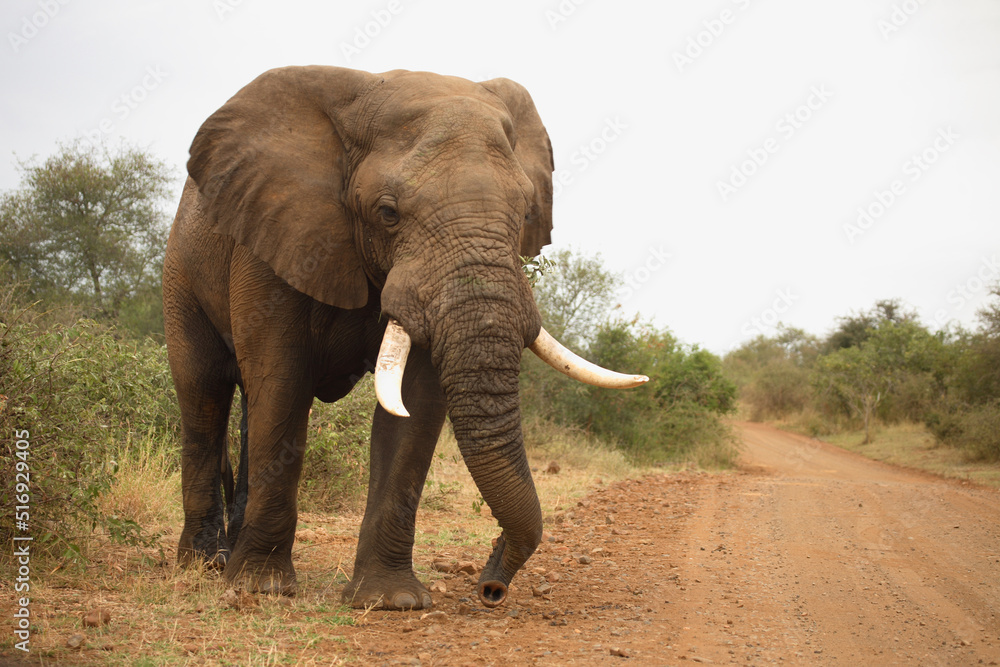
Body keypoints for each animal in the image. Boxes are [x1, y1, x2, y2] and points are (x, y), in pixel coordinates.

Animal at [164, 66, 648, 612]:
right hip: (181, 272)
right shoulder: (272, 236)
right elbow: (282, 380)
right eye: (388, 212)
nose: (491, 587)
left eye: (526, 213)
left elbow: (415, 405)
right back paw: (207, 563)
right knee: (204, 394)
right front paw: (261, 589)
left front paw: (391, 601)